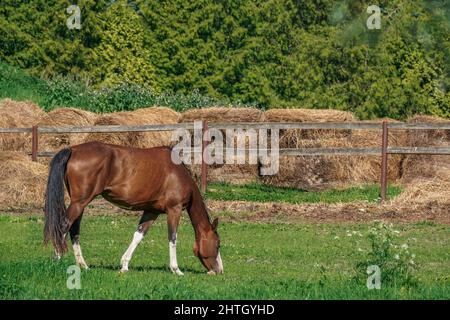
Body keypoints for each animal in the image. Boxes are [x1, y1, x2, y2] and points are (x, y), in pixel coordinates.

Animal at [44, 142, 223, 276]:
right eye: (218, 244)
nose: (219, 270)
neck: (178, 173)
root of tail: (73, 149)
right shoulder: (174, 209)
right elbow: (172, 238)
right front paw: (176, 269)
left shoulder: (152, 211)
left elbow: (138, 236)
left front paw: (124, 265)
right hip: (80, 202)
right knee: (63, 226)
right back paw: (57, 259)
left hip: (80, 204)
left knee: (74, 230)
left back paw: (83, 265)